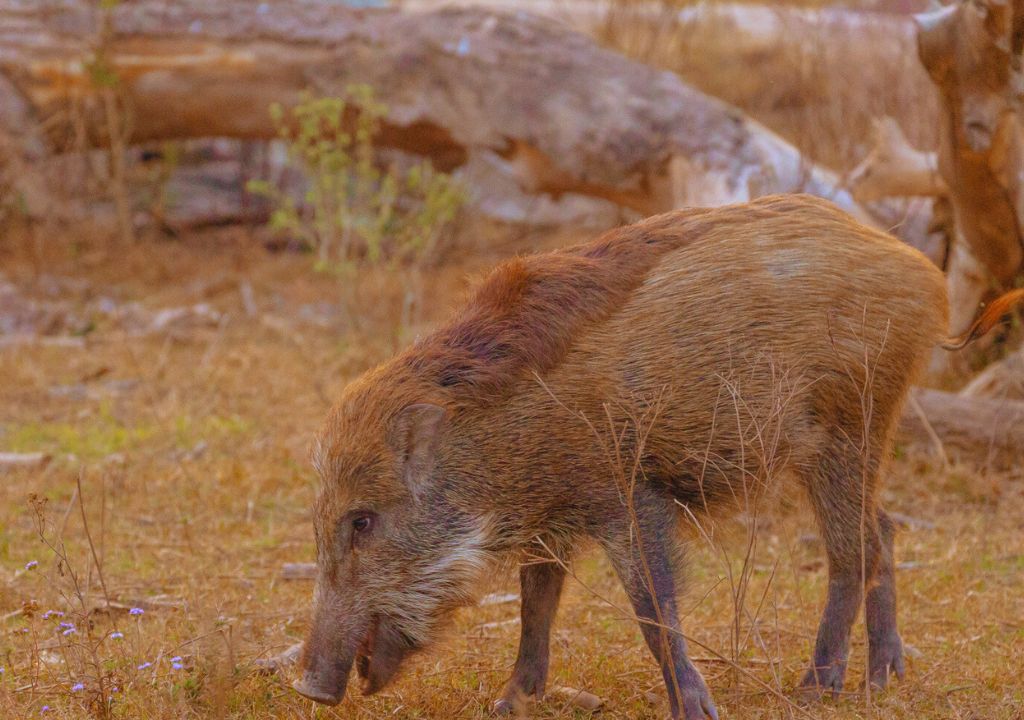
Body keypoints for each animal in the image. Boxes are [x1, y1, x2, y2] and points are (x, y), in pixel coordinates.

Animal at [292, 194, 1021, 719]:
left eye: (363, 520)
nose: (309, 688)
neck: (494, 441)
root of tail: (926, 277)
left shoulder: (628, 496)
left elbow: (651, 607)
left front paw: (696, 711)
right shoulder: (553, 516)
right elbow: (536, 603)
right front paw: (509, 704)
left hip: (846, 429)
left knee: (853, 552)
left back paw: (818, 688)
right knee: (885, 531)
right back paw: (883, 680)